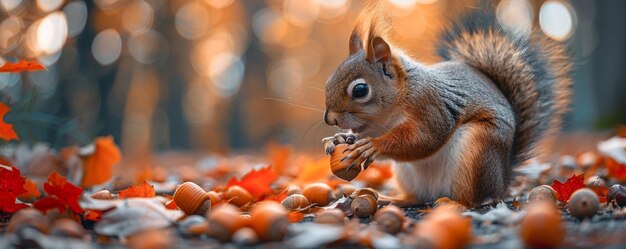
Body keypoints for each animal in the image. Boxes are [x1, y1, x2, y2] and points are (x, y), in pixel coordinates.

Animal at [322, 2, 572, 207]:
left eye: (360, 90)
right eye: (329, 80)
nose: (330, 119)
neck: (388, 114)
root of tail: (502, 180)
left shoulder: (431, 106)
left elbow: (425, 137)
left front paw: (373, 145)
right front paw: (338, 139)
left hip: (476, 153)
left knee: (475, 199)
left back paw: (454, 203)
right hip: (407, 174)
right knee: (416, 198)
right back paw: (391, 198)